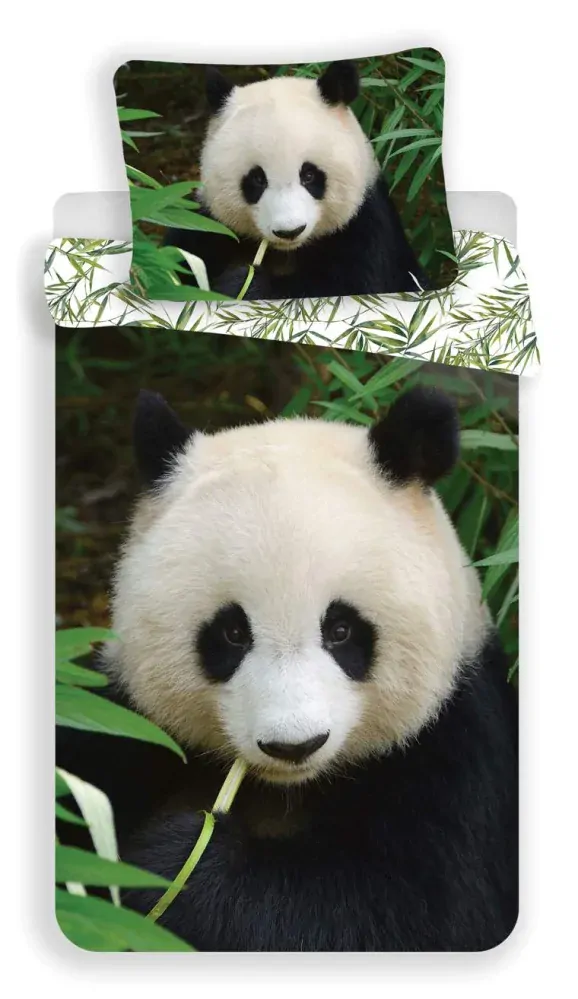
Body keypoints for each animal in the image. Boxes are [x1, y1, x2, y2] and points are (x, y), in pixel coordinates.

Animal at [56, 386, 518, 952]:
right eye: (232, 633)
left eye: (340, 630)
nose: (293, 745)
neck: (285, 788)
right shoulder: (123, 719)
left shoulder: (457, 748)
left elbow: (409, 911)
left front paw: (176, 863)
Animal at [164, 61, 427, 300]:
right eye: (257, 179)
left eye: (309, 175)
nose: (289, 231)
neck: (286, 252)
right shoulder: (205, 225)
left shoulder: (366, 229)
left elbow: (350, 287)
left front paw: (244, 285)